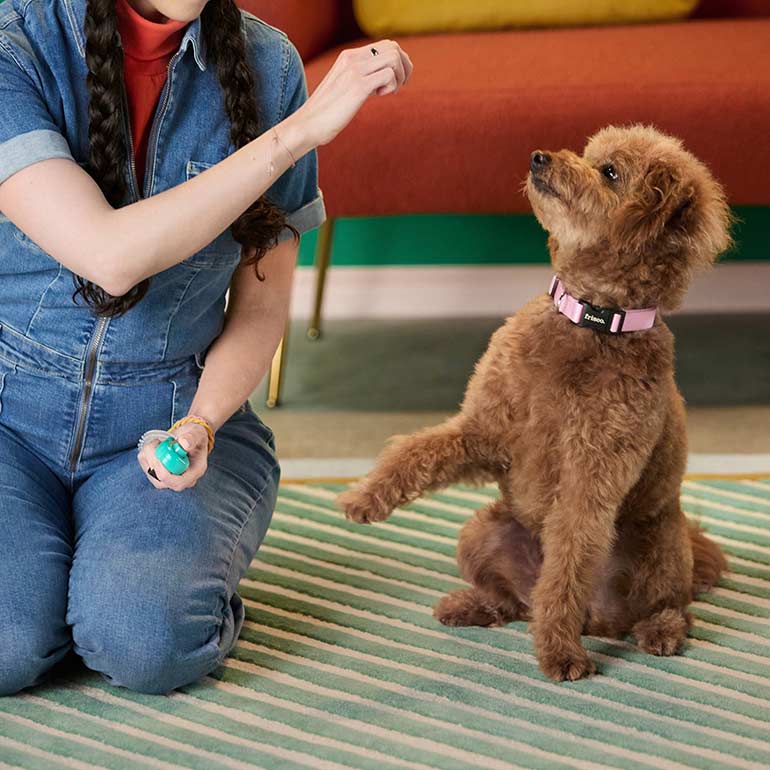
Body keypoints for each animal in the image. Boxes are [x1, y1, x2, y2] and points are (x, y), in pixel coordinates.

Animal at [338, 124, 732, 680]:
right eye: (589, 153)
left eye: (611, 172)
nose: (538, 157)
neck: (590, 320)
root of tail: (598, 620)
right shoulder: (487, 432)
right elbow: (418, 449)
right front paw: (364, 499)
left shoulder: (590, 482)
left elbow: (567, 565)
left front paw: (560, 654)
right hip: (481, 530)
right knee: (513, 602)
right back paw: (470, 605)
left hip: (659, 552)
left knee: (666, 605)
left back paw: (657, 632)